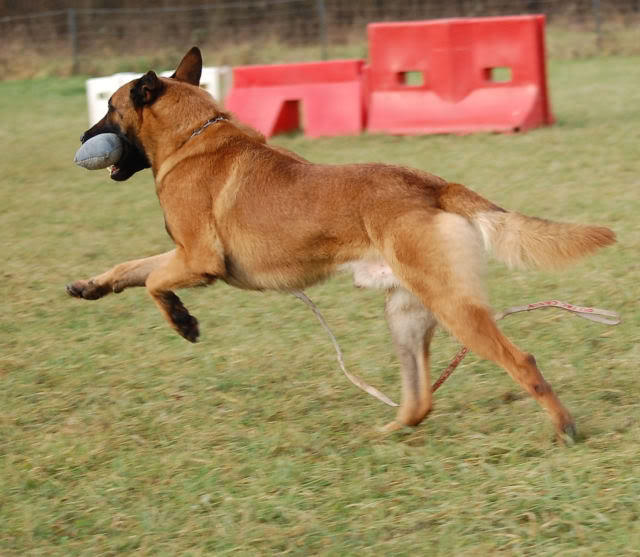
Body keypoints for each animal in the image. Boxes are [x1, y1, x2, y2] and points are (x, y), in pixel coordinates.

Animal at [69, 46, 616, 438]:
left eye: (110, 108)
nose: (81, 137)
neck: (192, 135)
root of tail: (435, 184)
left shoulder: (199, 259)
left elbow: (153, 282)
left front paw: (183, 321)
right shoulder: (182, 254)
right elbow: (131, 268)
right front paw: (90, 285)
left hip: (454, 307)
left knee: (520, 361)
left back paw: (564, 426)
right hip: (406, 315)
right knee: (421, 400)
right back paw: (386, 433)